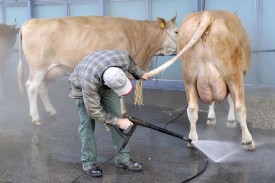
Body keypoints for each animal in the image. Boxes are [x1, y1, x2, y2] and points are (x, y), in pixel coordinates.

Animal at [18, 15, 180, 126]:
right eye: (177, 31)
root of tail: (32, 21)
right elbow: (119, 94)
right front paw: (122, 112)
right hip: (38, 67)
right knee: (32, 87)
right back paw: (36, 118)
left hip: (49, 70)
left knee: (42, 88)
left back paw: (52, 112)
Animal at [146, 10, 256, 150]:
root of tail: (207, 14)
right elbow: (230, 101)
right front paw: (230, 121)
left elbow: (210, 102)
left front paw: (211, 118)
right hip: (233, 75)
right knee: (240, 107)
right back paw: (248, 141)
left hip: (189, 77)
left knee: (192, 109)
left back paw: (192, 139)